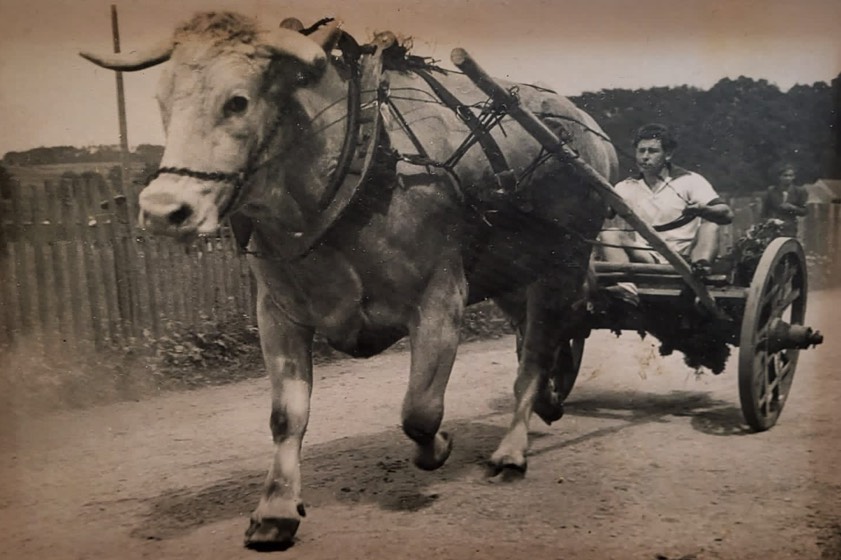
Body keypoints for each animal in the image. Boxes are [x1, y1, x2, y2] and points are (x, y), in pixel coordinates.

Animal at [81, 11, 618, 548]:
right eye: (163, 100)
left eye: (238, 101)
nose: (163, 211)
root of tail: (590, 128)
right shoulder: (276, 311)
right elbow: (286, 415)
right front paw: (276, 508)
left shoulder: (440, 298)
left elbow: (420, 409)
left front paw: (439, 446)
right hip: (510, 274)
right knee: (536, 339)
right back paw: (547, 403)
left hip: (561, 265)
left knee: (539, 348)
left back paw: (512, 448)